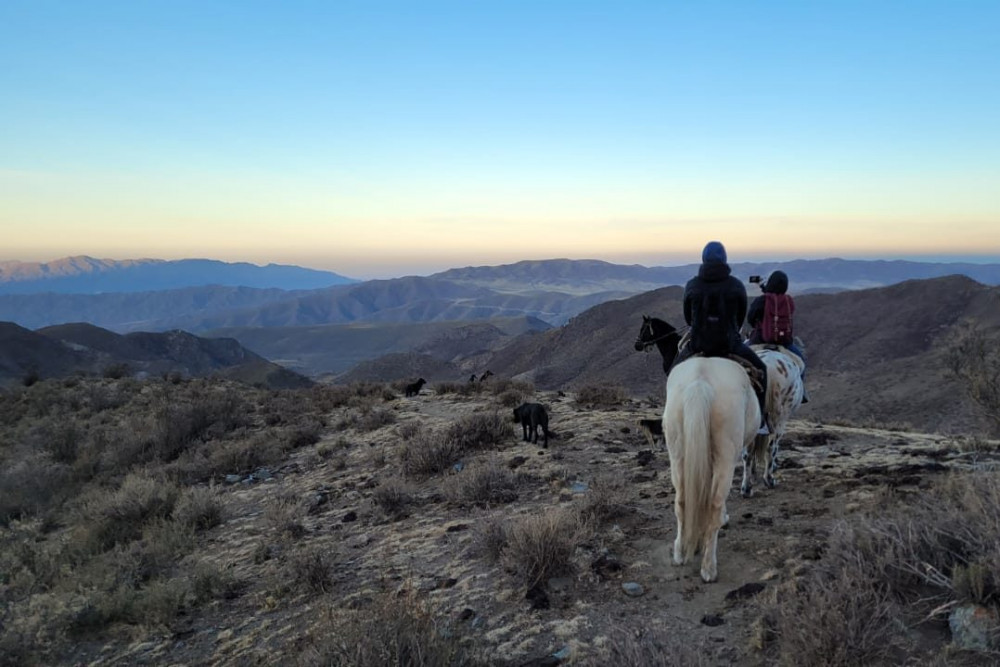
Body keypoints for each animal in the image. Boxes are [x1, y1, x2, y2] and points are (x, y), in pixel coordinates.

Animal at [664, 358, 756, 580]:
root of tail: (700, 382)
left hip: (677, 455)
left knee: (681, 501)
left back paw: (680, 552)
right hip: (726, 458)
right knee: (714, 505)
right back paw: (708, 567)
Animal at [740, 344, 808, 496]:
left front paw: (753, 474)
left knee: (747, 452)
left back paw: (746, 488)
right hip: (779, 416)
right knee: (771, 446)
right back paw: (769, 479)